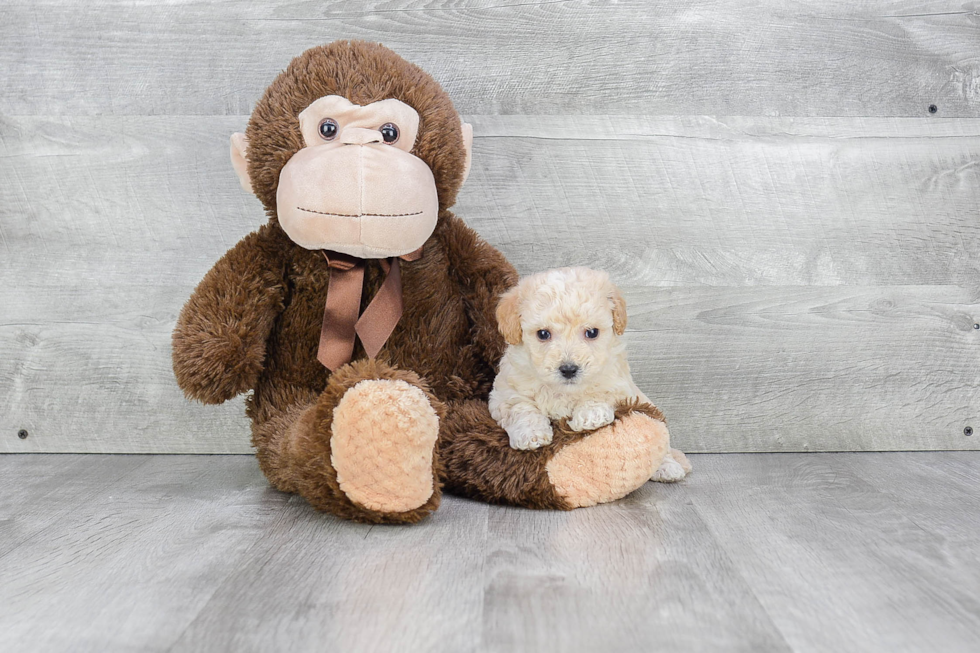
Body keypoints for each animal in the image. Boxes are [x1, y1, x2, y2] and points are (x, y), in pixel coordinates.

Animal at [488, 266, 688, 484]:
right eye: (543, 334)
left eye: (592, 332)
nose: (568, 369)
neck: (564, 391)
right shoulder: (505, 393)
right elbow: (520, 408)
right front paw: (531, 434)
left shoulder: (618, 383)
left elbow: (599, 392)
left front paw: (591, 415)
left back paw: (667, 468)